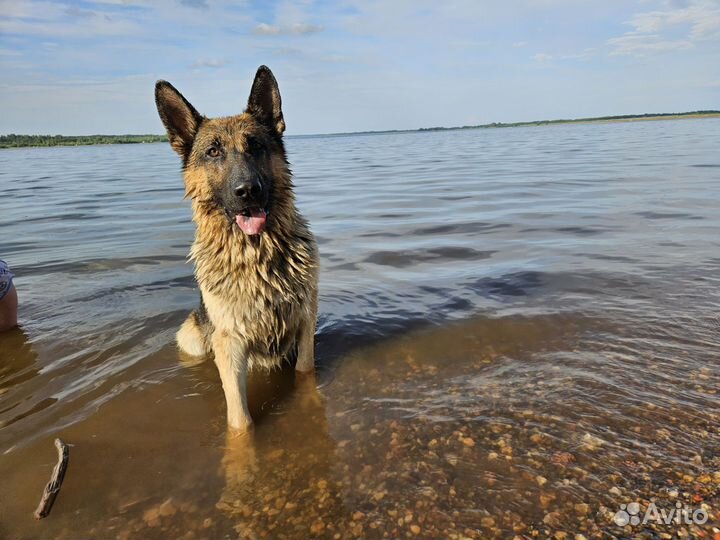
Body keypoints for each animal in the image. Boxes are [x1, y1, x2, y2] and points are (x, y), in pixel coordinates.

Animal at [156, 66, 320, 430]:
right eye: (213, 152)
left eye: (255, 146)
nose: (247, 191)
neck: (257, 256)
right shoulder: (230, 344)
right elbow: (239, 419)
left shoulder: (305, 322)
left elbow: (306, 373)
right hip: (193, 337)